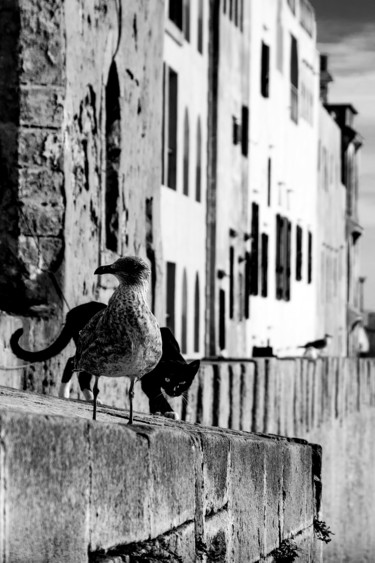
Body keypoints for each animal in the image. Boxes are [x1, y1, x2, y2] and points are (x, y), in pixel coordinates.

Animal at [11, 302, 200, 416]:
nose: (174, 391)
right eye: (167, 378)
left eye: (183, 382)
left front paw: (157, 412)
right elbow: (156, 394)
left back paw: (87, 397)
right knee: (74, 365)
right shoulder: (149, 378)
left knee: (75, 366)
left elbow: (154, 395)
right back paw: (67, 394)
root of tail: (74, 311)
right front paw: (168, 411)